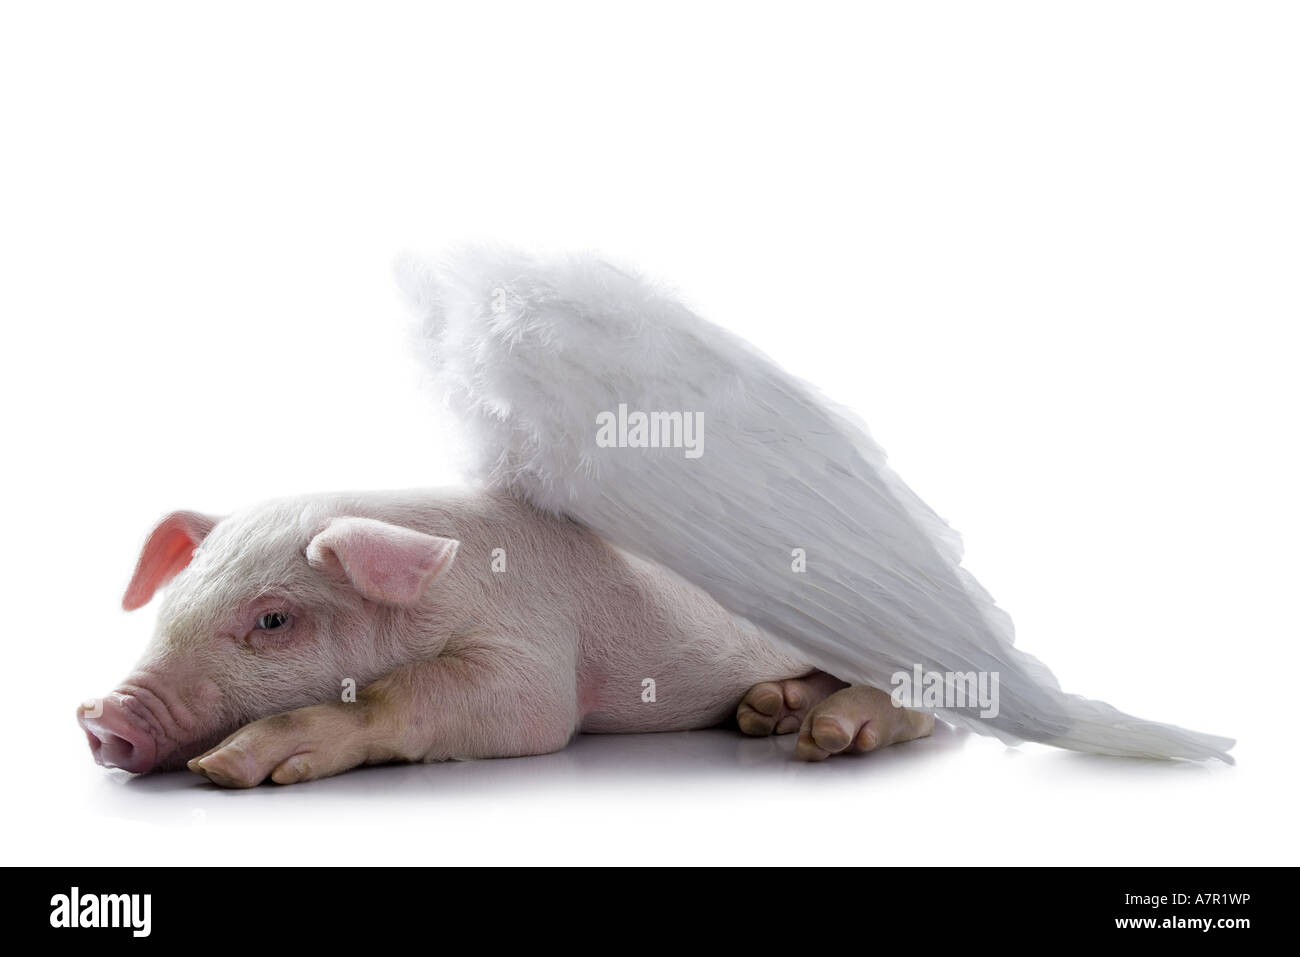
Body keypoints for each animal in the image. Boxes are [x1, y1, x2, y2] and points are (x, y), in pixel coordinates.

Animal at [78, 487, 934, 787]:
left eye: (273, 620)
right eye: (174, 601)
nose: (103, 715)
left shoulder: (534, 657)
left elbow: (450, 697)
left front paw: (229, 767)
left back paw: (827, 734)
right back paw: (769, 711)